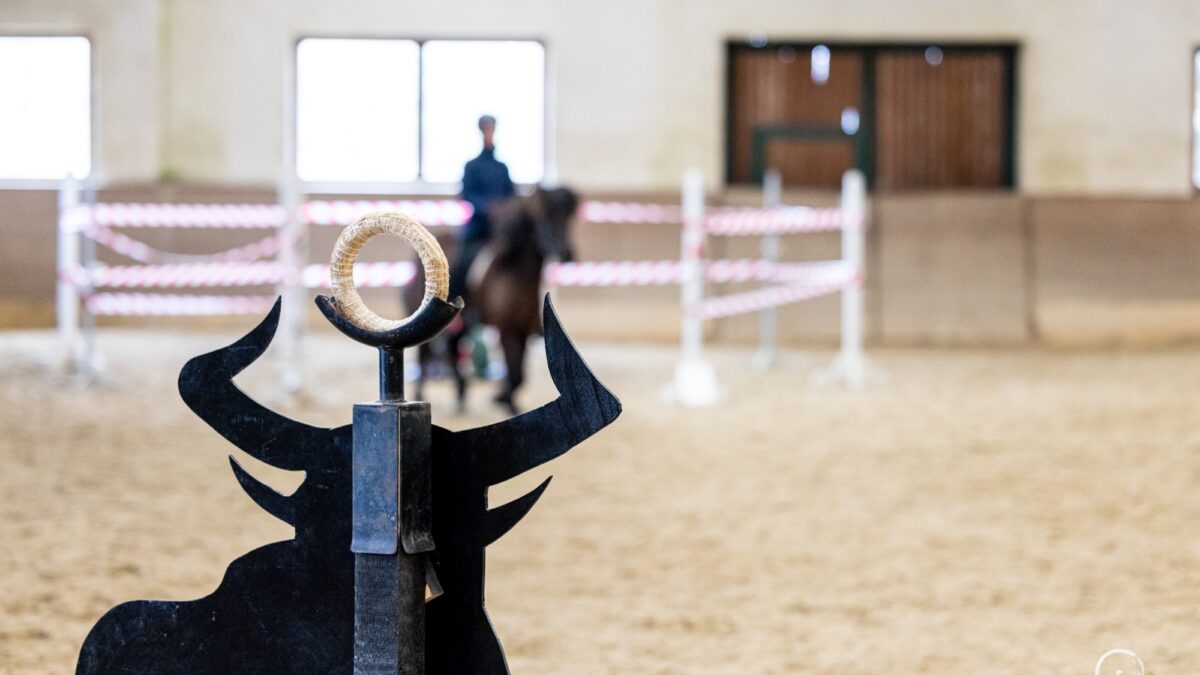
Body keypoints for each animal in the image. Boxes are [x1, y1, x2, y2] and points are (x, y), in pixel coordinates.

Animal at [408, 186, 579, 414]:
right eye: (543, 212)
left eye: (568, 215)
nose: (565, 252)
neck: (517, 271)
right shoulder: (508, 331)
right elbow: (515, 374)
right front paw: (504, 400)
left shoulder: (522, 331)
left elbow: (519, 375)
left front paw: (504, 399)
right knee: (425, 353)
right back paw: (421, 393)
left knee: (453, 350)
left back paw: (461, 395)